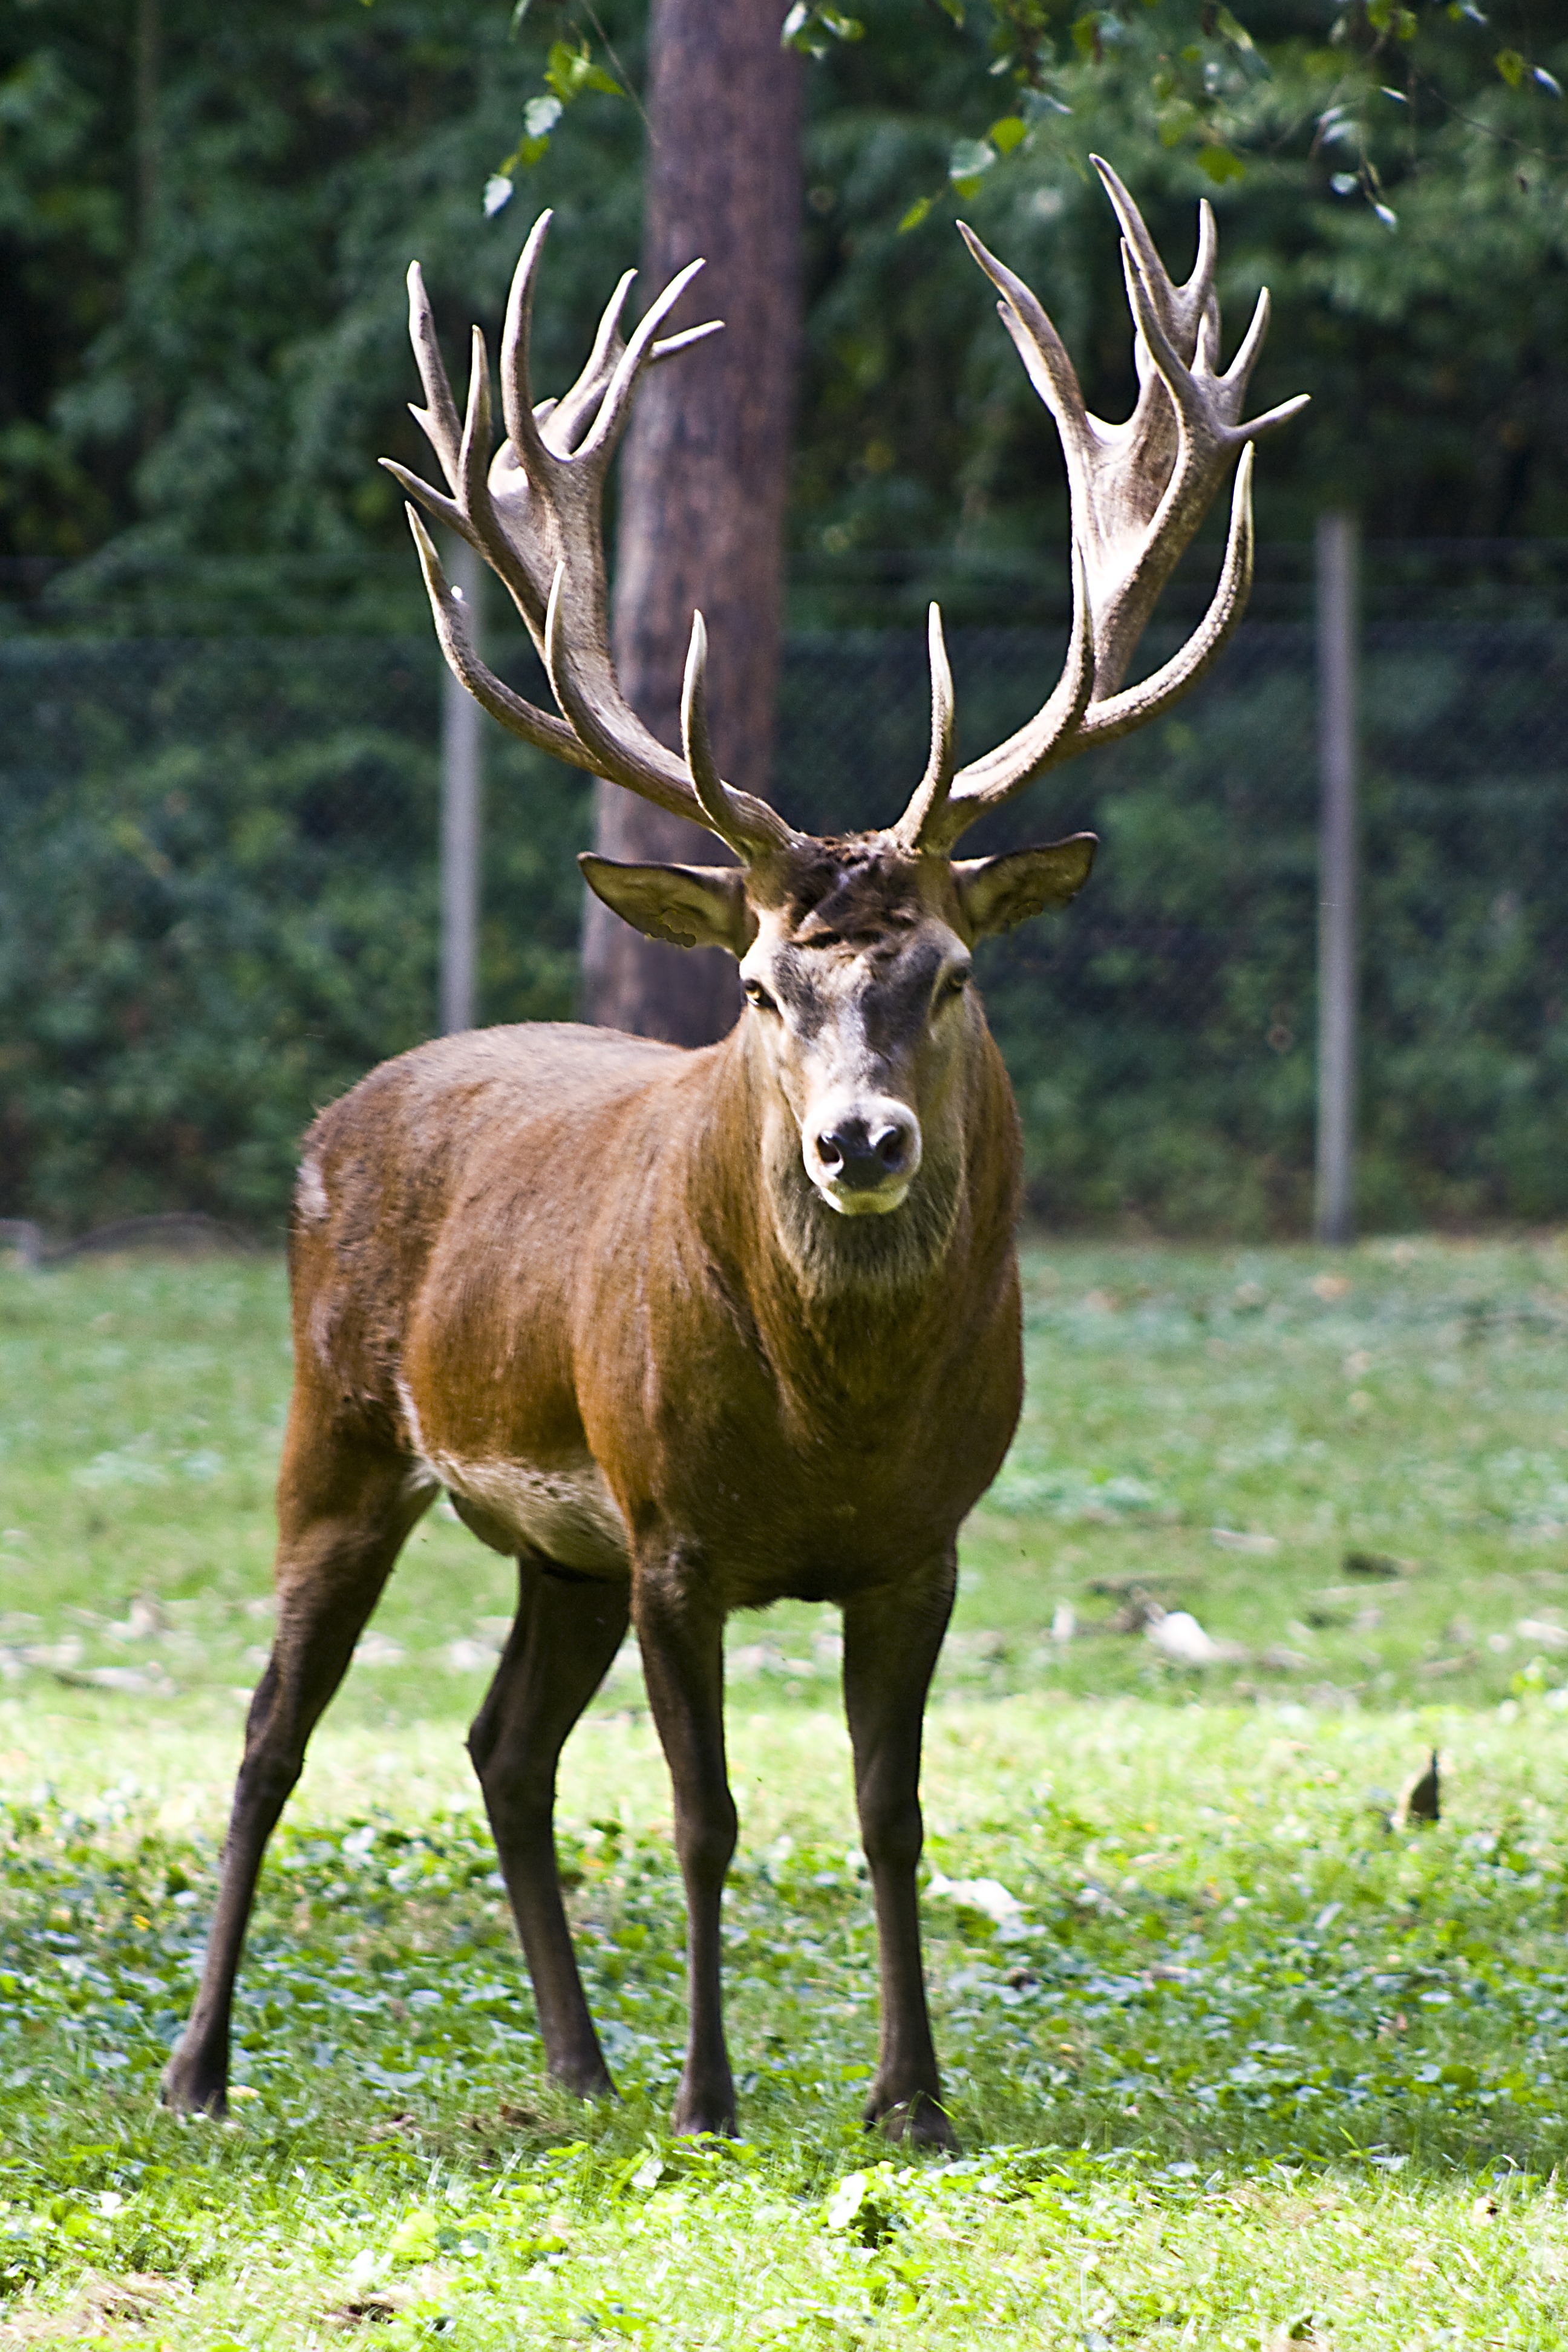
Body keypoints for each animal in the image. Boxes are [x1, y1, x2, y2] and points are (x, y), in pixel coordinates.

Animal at [165, 161, 1307, 2154]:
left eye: (951, 973)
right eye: (765, 984)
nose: (859, 1142)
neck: (830, 1418)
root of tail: (345, 1105)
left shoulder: (923, 1543)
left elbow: (891, 1816)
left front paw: (911, 2099)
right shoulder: (676, 1527)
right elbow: (707, 1819)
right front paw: (714, 2095)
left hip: (557, 1546)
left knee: (501, 1743)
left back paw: (576, 2059)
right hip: (343, 1424)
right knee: (268, 1731)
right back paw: (205, 2066)